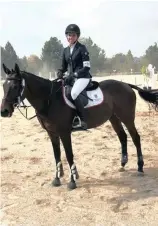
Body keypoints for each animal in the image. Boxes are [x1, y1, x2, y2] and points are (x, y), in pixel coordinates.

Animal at [1, 62, 158, 190]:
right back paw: (123, 164)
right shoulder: (52, 133)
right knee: (123, 137)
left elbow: (69, 154)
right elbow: (57, 155)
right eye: (3, 85)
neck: (49, 99)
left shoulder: (64, 133)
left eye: (15, 86)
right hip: (113, 118)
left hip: (127, 118)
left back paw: (140, 167)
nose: (4, 111)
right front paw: (57, 179)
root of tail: (126, 85)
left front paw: (72, 181)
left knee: (135, 137)